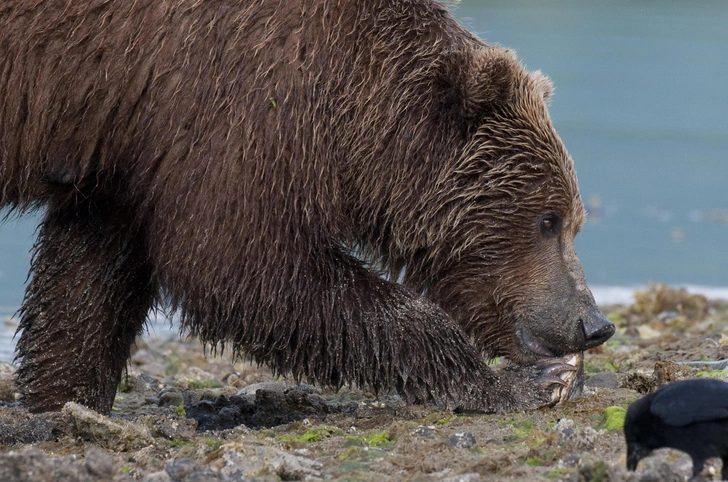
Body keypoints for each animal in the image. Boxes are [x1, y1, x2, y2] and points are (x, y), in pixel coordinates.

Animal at [0, 0, 616, 414]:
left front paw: (65, 400)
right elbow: (244, 263)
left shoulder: (127, 143)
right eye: (547, 219)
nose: (593, 323)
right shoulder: (237, 100)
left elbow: (89, 277)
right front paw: (520, 384)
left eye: (575, 220)